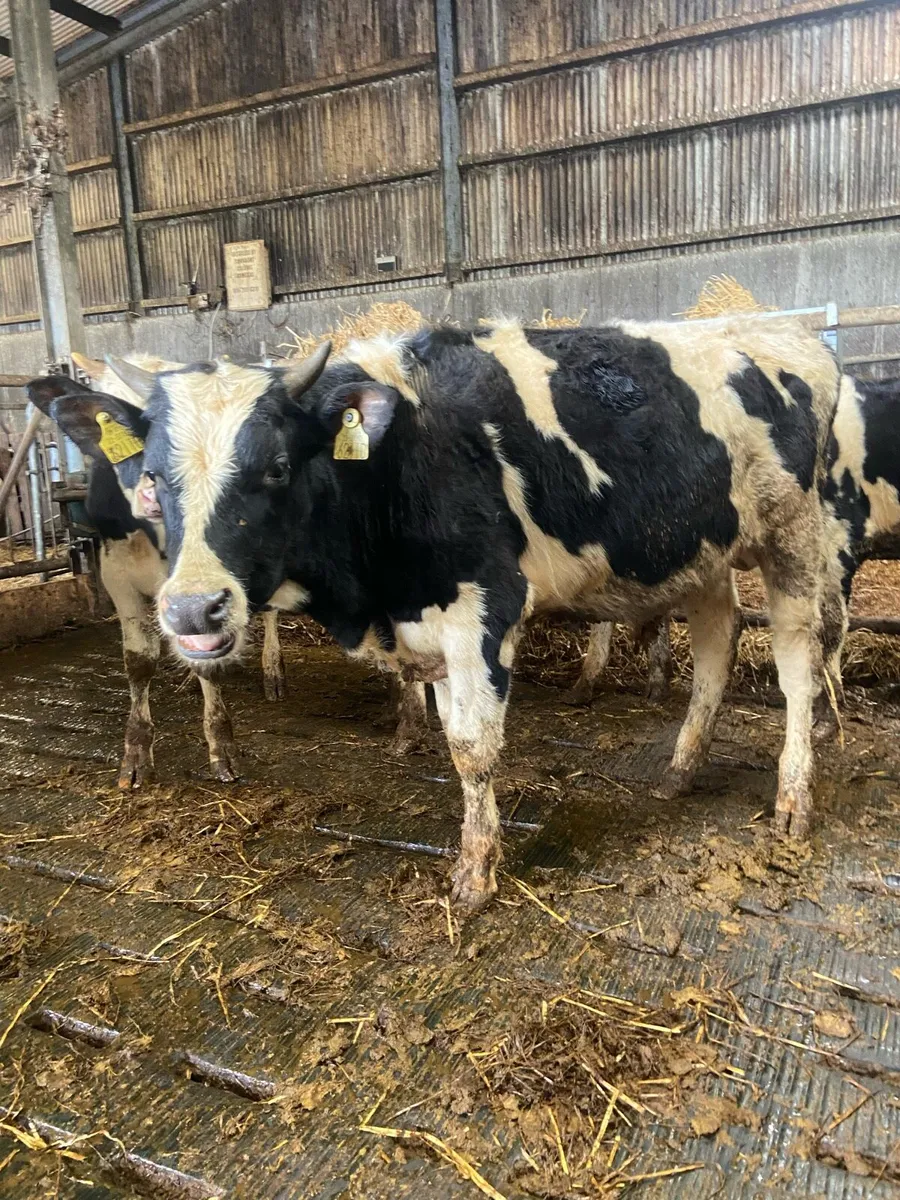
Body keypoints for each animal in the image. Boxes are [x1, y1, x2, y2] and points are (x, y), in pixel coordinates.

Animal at [28, 354, 287, 789]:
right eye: (113, 427)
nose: (150, 496)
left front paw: (222, 749)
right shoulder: (116, 573)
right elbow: (139, 660)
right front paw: (135, 754)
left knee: (268, 613)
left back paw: (273, 672)